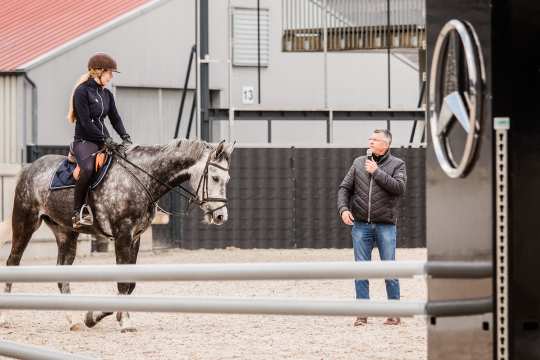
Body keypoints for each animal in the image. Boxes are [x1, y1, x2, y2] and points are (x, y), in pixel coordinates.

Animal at [0, 139, 234, 332]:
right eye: (215, 178)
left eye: (227, 179)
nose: (221, 216)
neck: (142, 178)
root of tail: (30, 167)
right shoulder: (123, 235)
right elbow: (123, 282)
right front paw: (124, 322)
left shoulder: (135, 238)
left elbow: (130, 284)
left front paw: (95, 317)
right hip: (25, 223)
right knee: (13, 262)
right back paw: (5, 318)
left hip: (65, 233)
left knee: (61, 275)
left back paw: (73, 321)